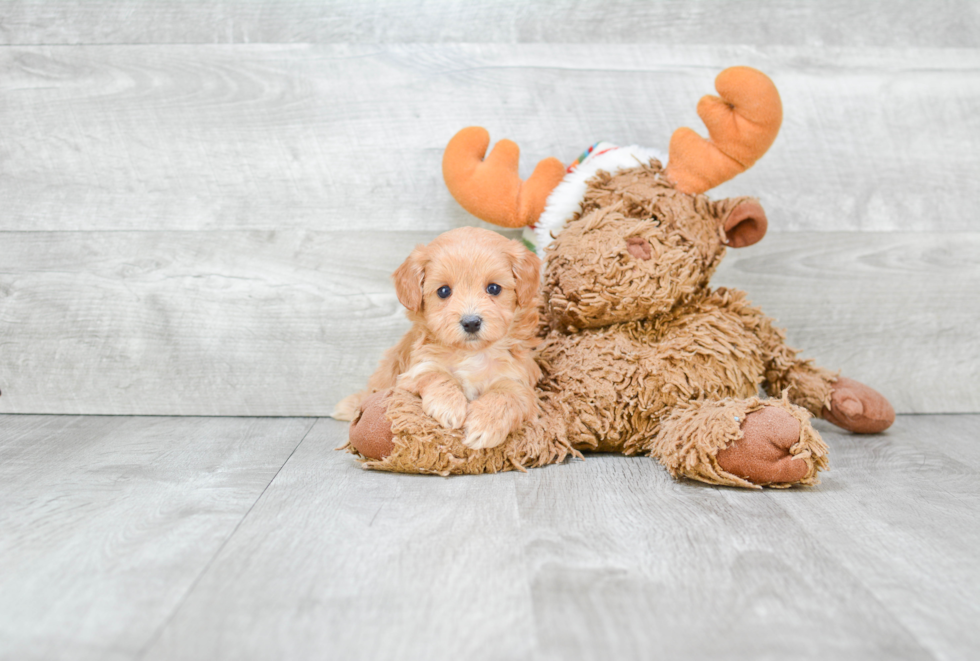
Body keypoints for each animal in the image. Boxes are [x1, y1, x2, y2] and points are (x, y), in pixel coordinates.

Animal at [334, 226, 540, 448]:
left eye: (493, 288)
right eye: (444, 291)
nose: (471, 322)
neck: (471, 354)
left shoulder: (518, 380)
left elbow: (505, 394)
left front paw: (485, 425)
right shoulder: (415, 370)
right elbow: (437, 374)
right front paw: (449, 407)